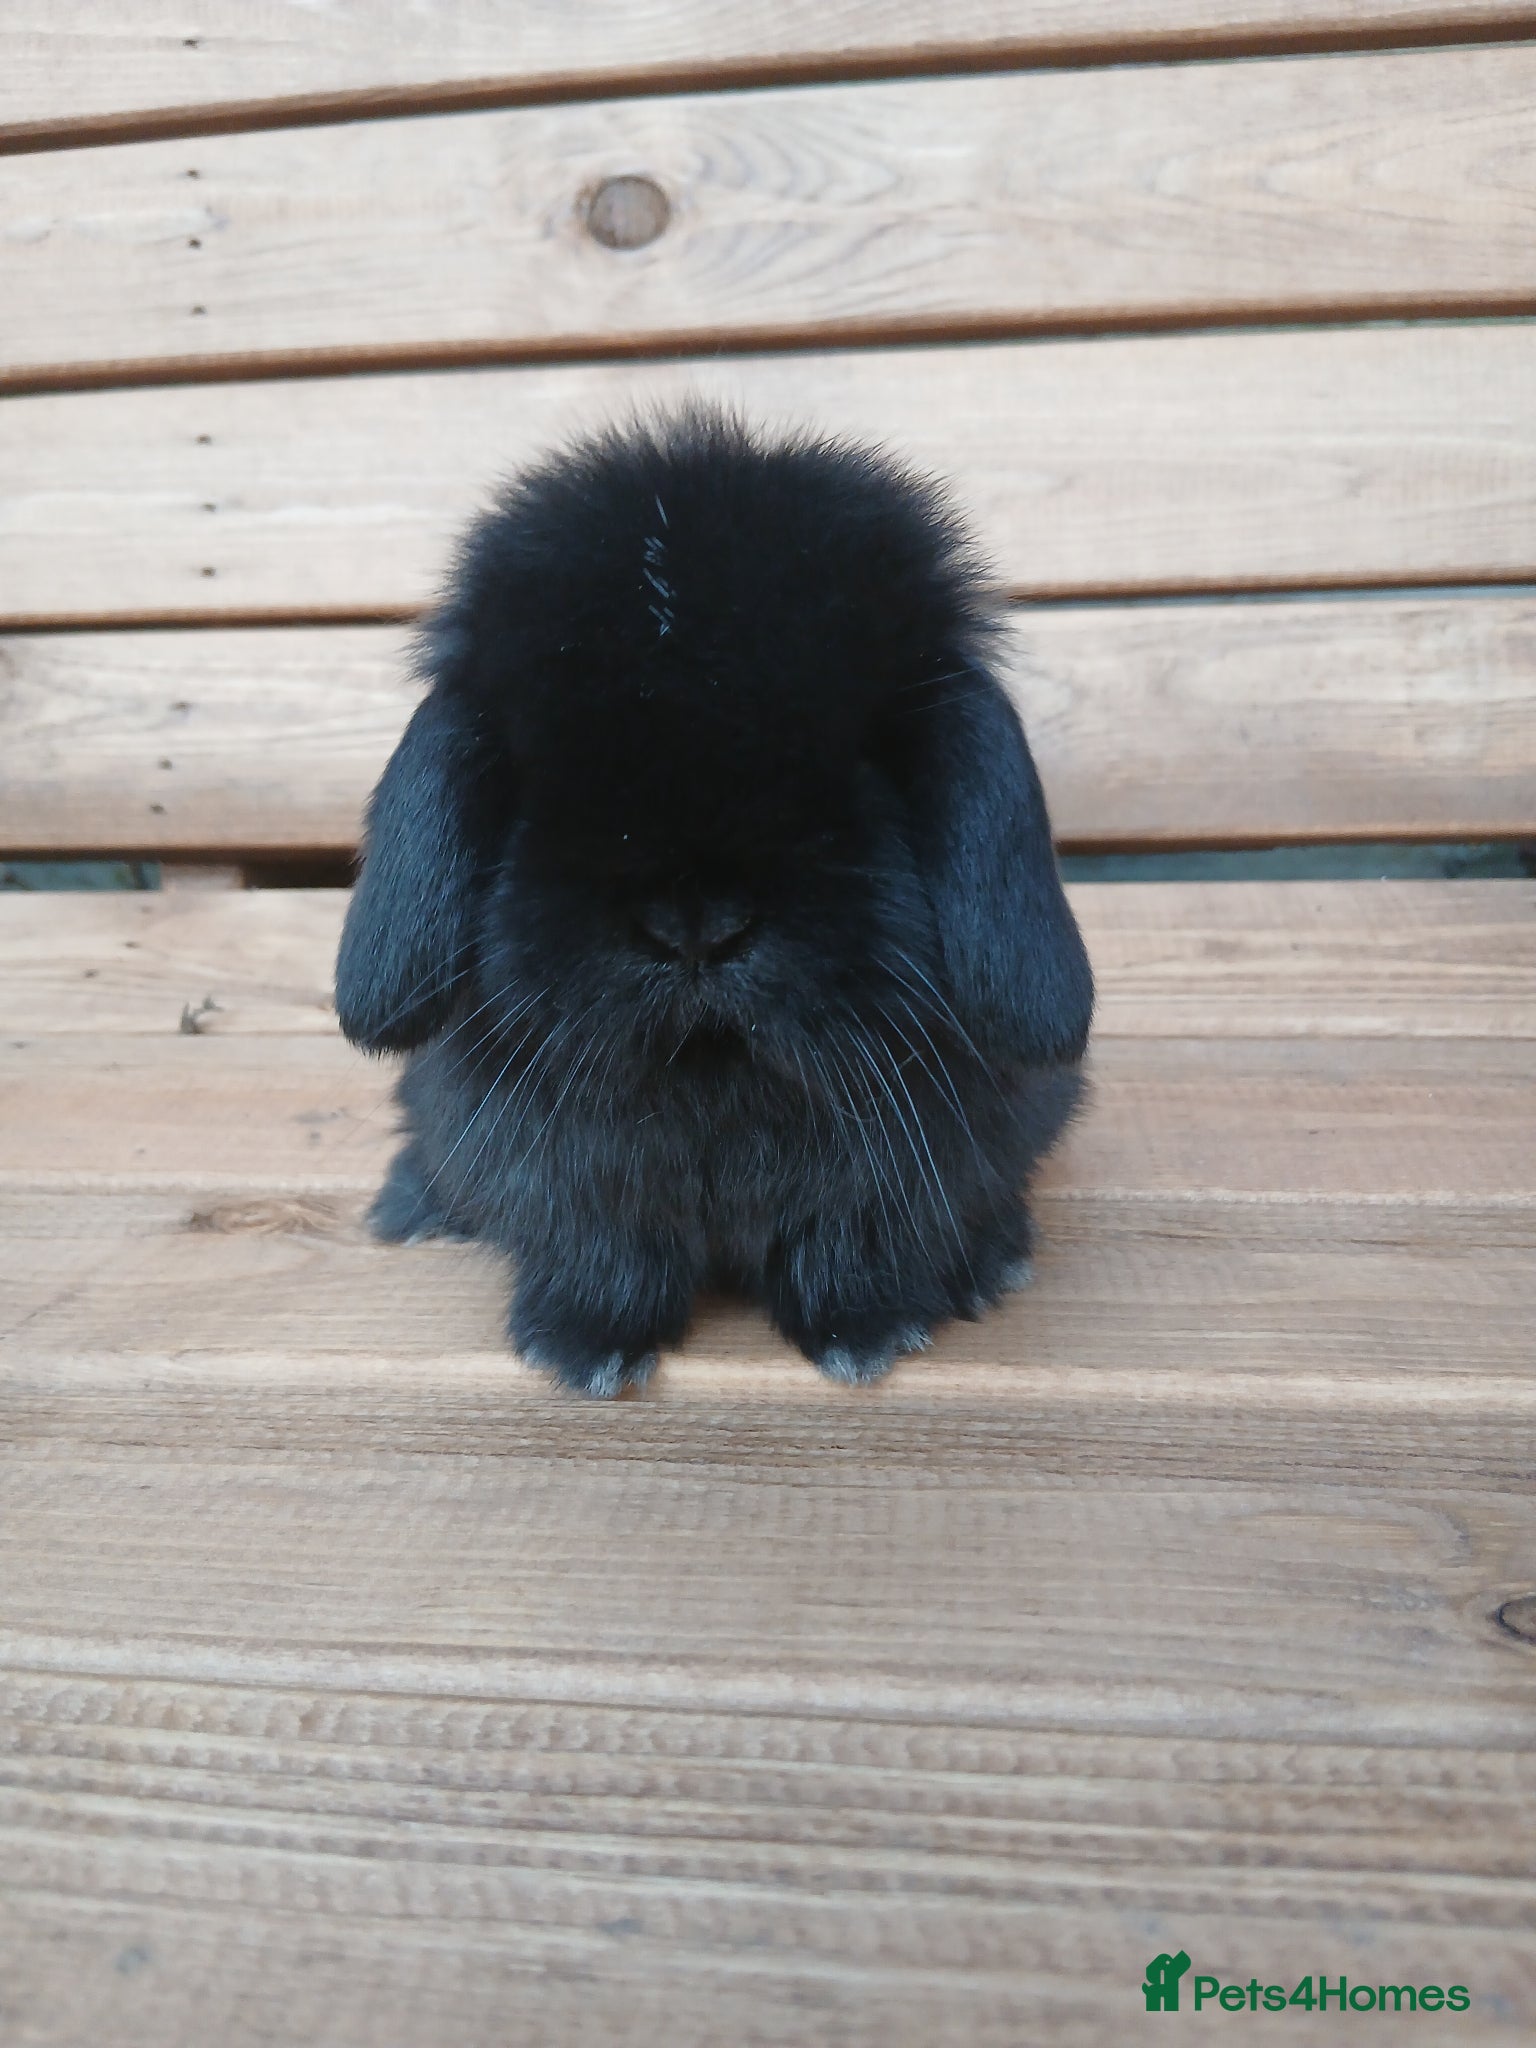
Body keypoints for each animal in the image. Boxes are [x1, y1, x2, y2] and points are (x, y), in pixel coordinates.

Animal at [335, 408, 1092, 1397]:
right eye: (546, 770)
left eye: (860, 767)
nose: (697, 925)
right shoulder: (575, 1191)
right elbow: (607, 1253)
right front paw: (582, 1350)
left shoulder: (886, 1192)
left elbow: (846, 1250)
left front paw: (871, 1336)